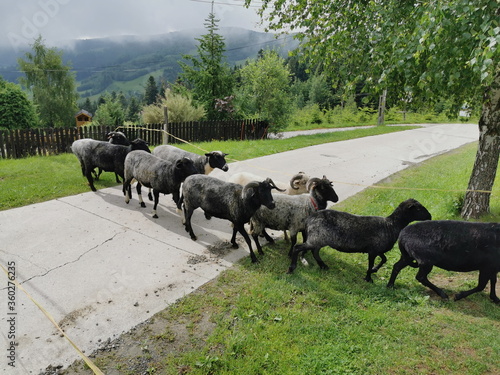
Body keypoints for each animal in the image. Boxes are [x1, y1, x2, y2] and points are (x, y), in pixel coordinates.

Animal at [288, 200, 432, 282]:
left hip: (319, 239)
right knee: (298, 247)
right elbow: (371, 263)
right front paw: (368, 277)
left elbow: (384, 259)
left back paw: (323, 266)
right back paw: (291, 268)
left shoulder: (377, 249)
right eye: (418, 208)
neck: (390, 225)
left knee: (314, 251)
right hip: (316, 237)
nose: (430, 216)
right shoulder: (373, 251)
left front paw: (374, 270)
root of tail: (309, 219)